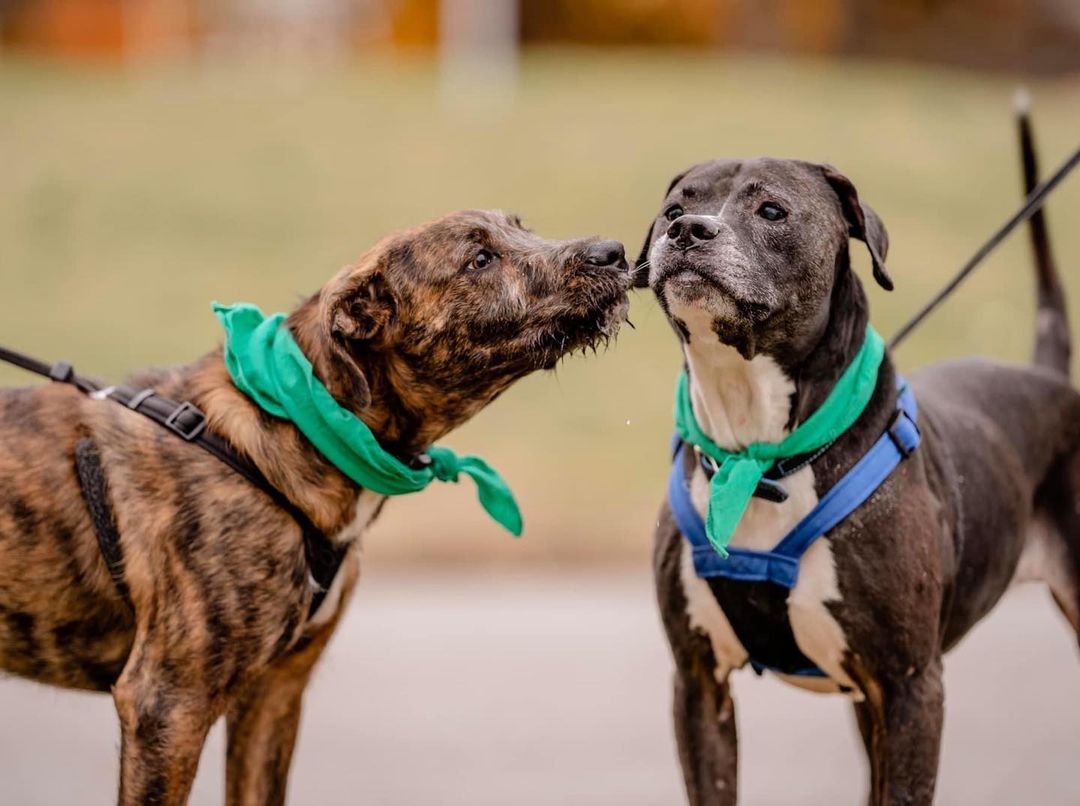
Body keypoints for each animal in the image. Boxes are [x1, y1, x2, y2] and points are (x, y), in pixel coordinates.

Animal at [0, 208, 626, 803]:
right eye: (479, 259)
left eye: (525, 229)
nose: (615, 251)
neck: (300, 421)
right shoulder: (167, 702)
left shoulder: (276, 693)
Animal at [635, 117, 1075, 799]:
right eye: (674, 210)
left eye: (772, 210)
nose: (688, 231)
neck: (758, 454)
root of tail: (1048, 380)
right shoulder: (699, 684)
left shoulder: (911, 688)